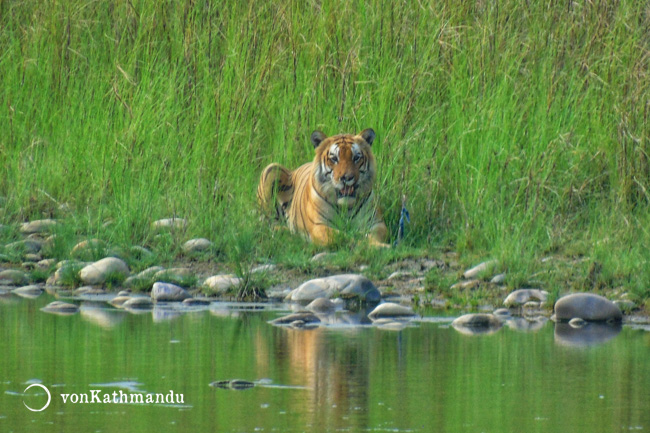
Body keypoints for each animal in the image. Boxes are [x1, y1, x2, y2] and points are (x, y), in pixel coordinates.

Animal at [254, 127, 384, 246]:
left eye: (356, 158)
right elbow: (342, 237)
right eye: (334, 158)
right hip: (272, 168)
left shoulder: (376, 223)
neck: (346, 207)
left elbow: (375, 236)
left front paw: (378, 245)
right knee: (267, 222)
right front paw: (361, 243)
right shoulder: (319, 225)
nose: (346, 178)